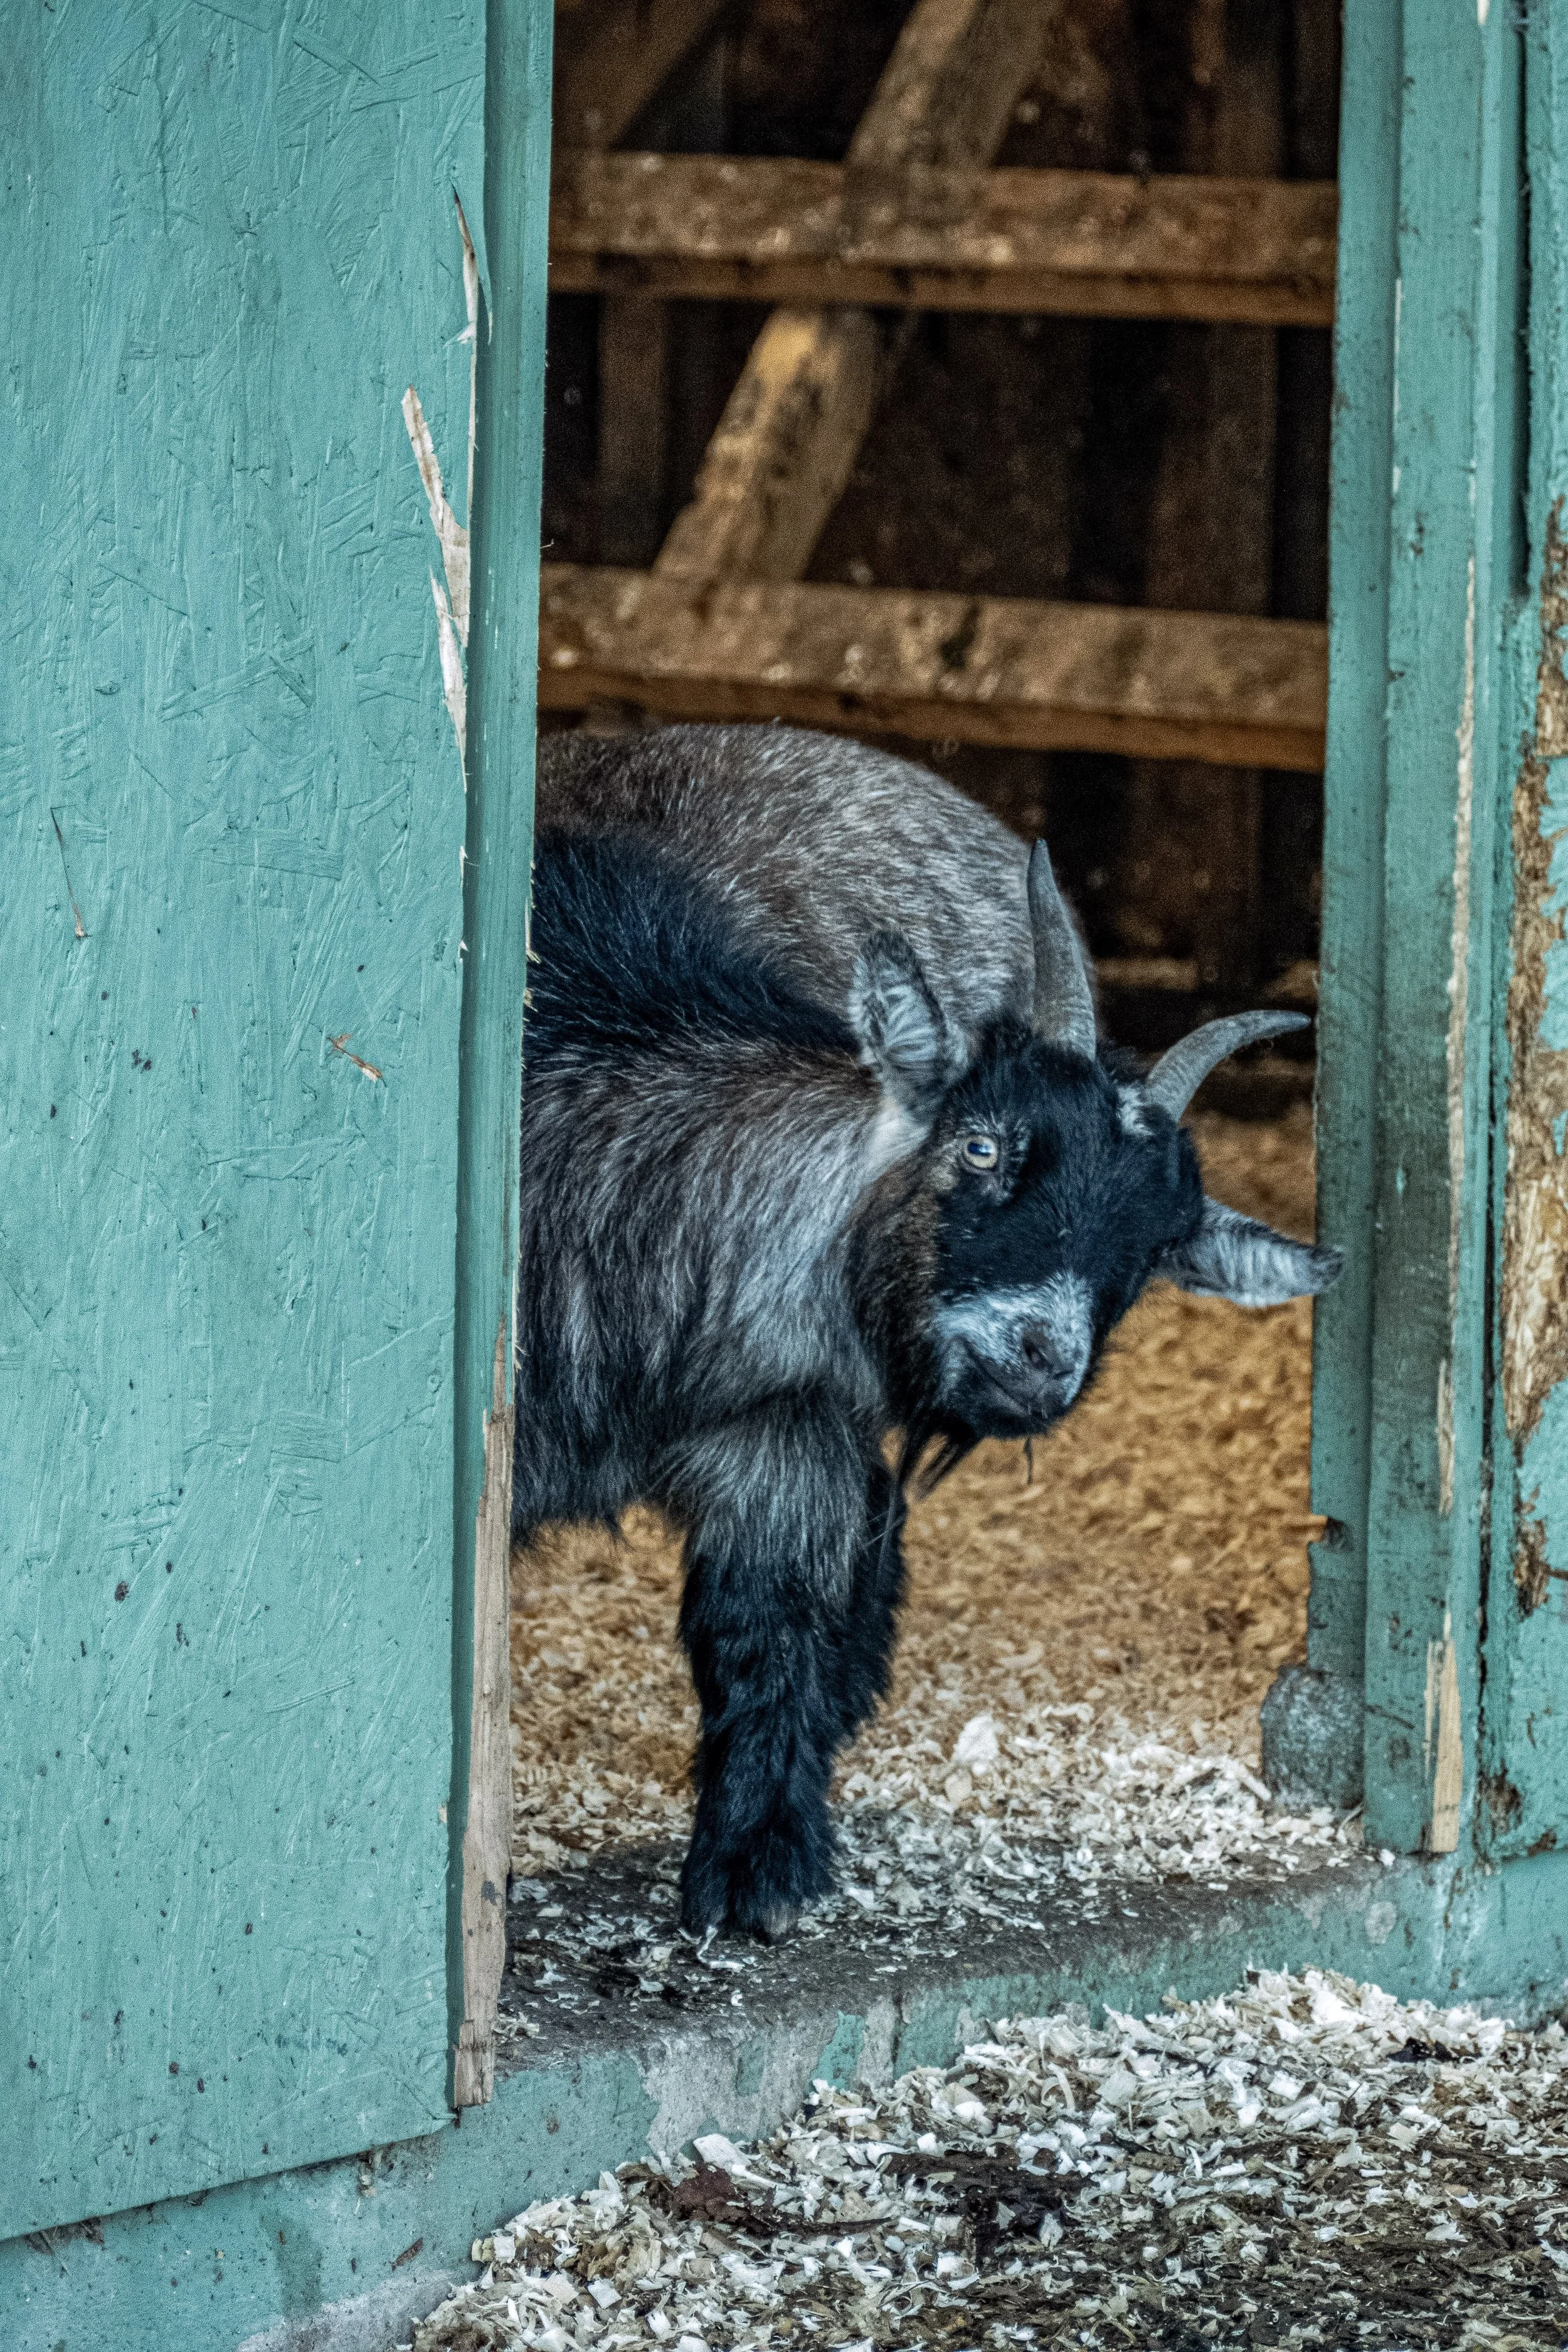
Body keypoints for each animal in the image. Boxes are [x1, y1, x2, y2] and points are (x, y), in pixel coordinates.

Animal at [514, 724, 1340, 1940]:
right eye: (984, 1145)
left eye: (1150, 1253)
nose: (1043, 1359)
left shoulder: (783, 1434)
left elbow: (767, 1625)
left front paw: (759, 1862)